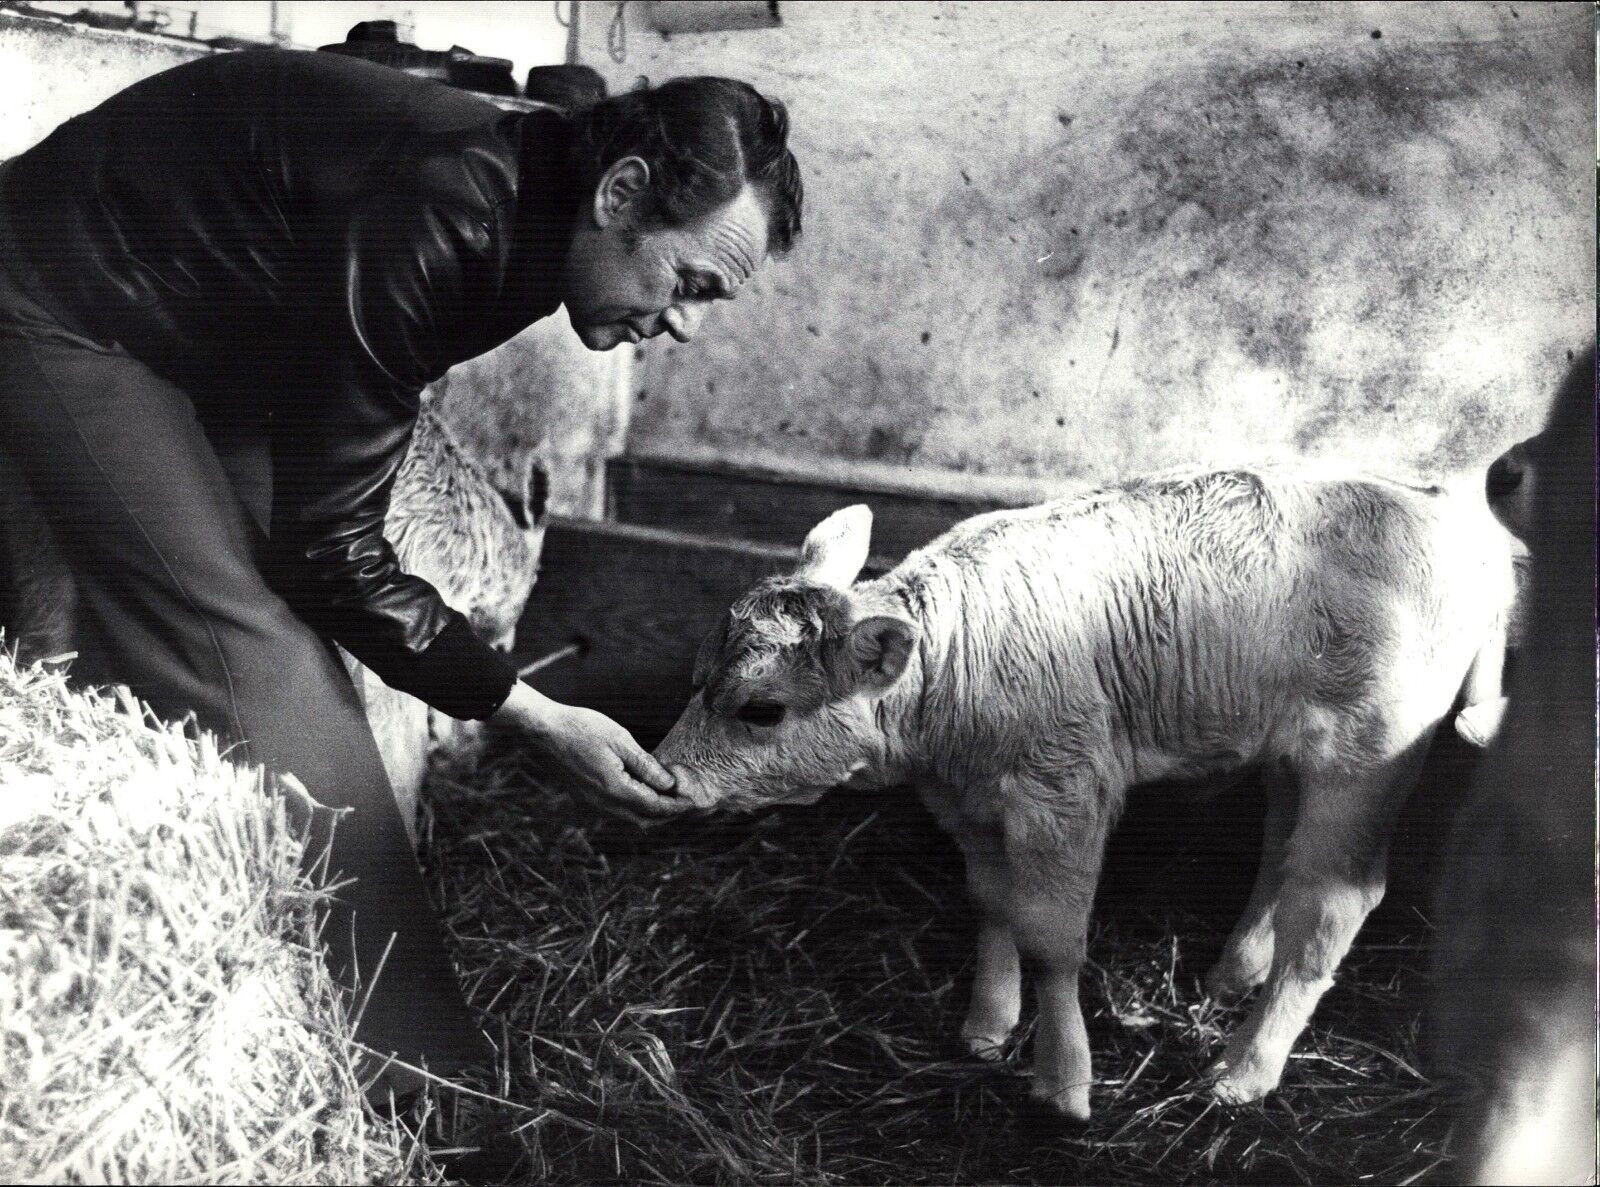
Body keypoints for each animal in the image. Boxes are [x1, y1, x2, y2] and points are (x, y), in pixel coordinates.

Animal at [649, 467, 1510, 1126]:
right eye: (695, 676)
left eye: (761, 709)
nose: (670, 777)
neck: (953, 671)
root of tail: (1456, 516)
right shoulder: (970, 802)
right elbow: (992, 903)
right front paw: (987, 1025)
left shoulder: (1064, 793)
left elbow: (1053, 938)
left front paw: (1062, 1079)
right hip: (1295, 755)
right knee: (1281, 852)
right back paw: (1235, 971)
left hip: (1367, 754)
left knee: (1332, 902)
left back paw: (1244, 1070)